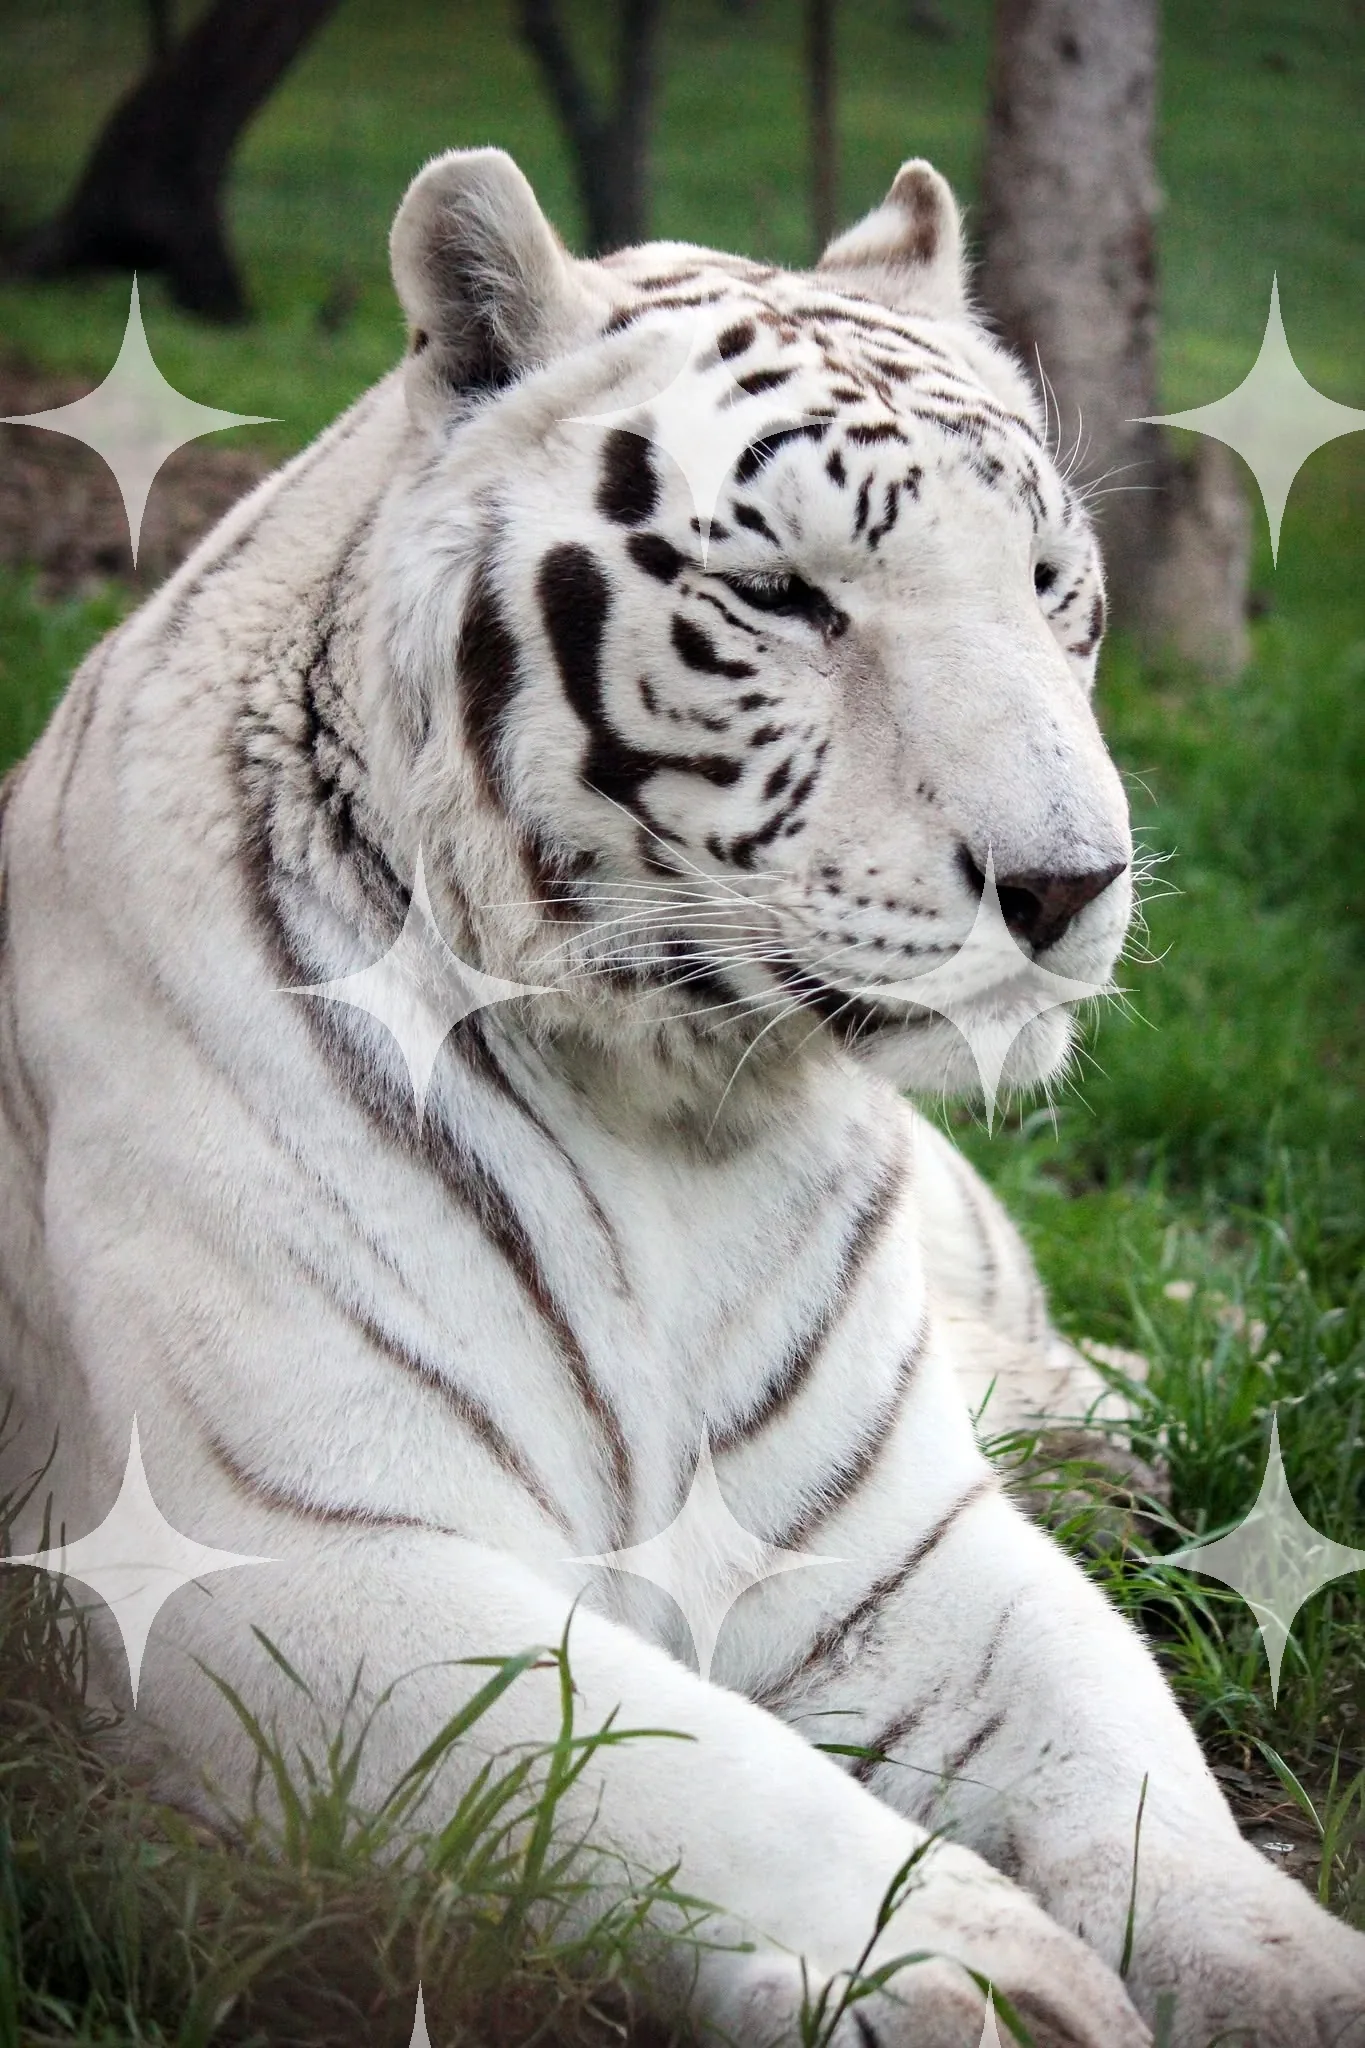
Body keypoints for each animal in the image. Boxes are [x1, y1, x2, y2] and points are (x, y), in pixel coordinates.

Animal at [1, 146, 1362, 2047]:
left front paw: (1287, 1971)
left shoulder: (895, 1545)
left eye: (1046, 582)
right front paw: (990, 1992)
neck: (685, 1117)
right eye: (788, 597)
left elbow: (1133, 1763)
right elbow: (717, 1783)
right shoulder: (272, 1558)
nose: (1072, 882)